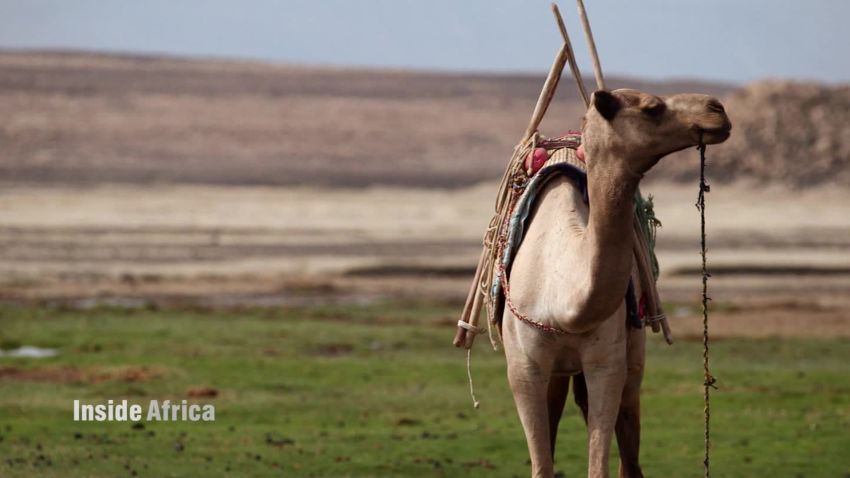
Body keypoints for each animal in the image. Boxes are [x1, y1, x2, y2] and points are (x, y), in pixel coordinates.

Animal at [504, 88, 728, 476]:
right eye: (653, 108)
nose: (717, 110)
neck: (563, 298)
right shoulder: (523, 367)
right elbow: (541, 465)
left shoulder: (607, 364)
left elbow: (600, 465)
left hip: (632, 358)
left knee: (630, 452)